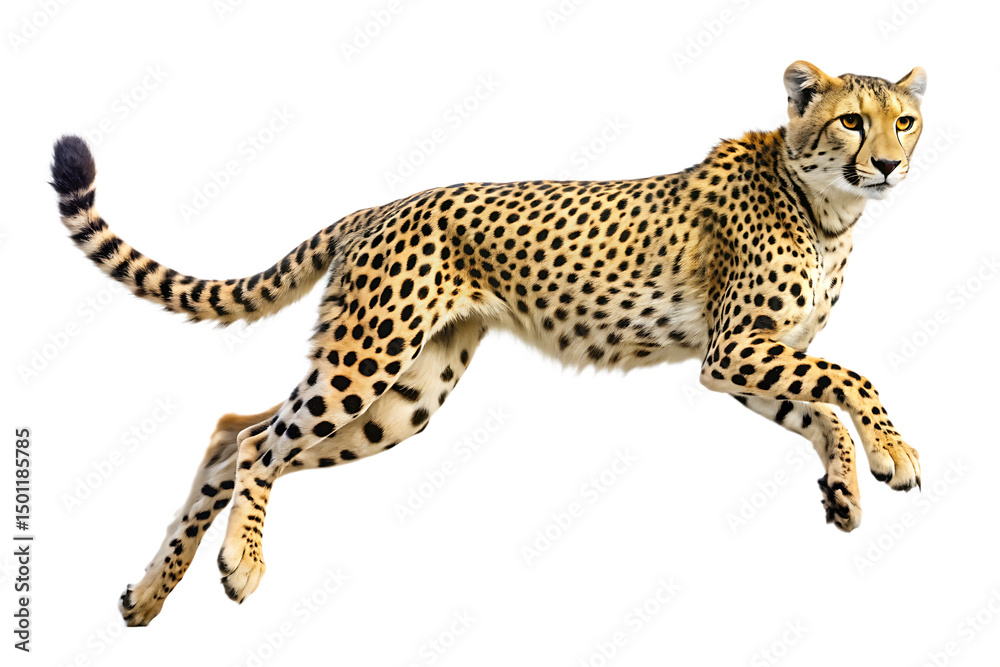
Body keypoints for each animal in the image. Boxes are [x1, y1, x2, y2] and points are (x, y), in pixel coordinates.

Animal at [49, 61, 926, 626]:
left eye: (905, 120)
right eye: (852, 119)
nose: (888, 164)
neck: (825, 204)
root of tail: (379, 207)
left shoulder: (744, 362)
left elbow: (820, 407)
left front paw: (846, 485)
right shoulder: (734, 348)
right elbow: (854, 378)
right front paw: (893, 454)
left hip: (404, 398)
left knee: (234, 432)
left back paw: (148, 595)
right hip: (367, 360)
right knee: (259, 441)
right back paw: (241, 562)